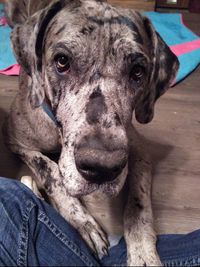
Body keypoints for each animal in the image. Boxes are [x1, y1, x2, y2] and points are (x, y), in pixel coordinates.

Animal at [3, 0, 178, 266]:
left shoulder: (139, 150)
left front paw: (143, 251)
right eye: (62, 61)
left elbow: (138, 201)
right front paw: (83, 221)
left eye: (138, 71)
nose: (102, 167)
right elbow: (51, 171)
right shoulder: (16, 140)